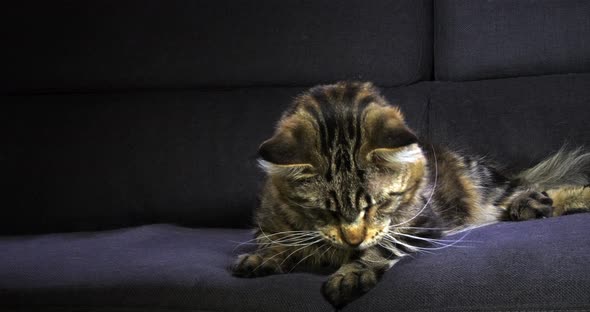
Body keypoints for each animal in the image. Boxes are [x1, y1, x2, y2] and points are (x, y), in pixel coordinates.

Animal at [232, 80, 590, 308]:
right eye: (327, 210)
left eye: (377, 205)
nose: (353, 239)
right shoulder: (269, 223)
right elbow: (279, 243)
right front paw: (265, 257)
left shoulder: (422, 224)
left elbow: (379, 249)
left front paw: (351, 274)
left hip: (483, 180)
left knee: (531, 190)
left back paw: (543, 201)